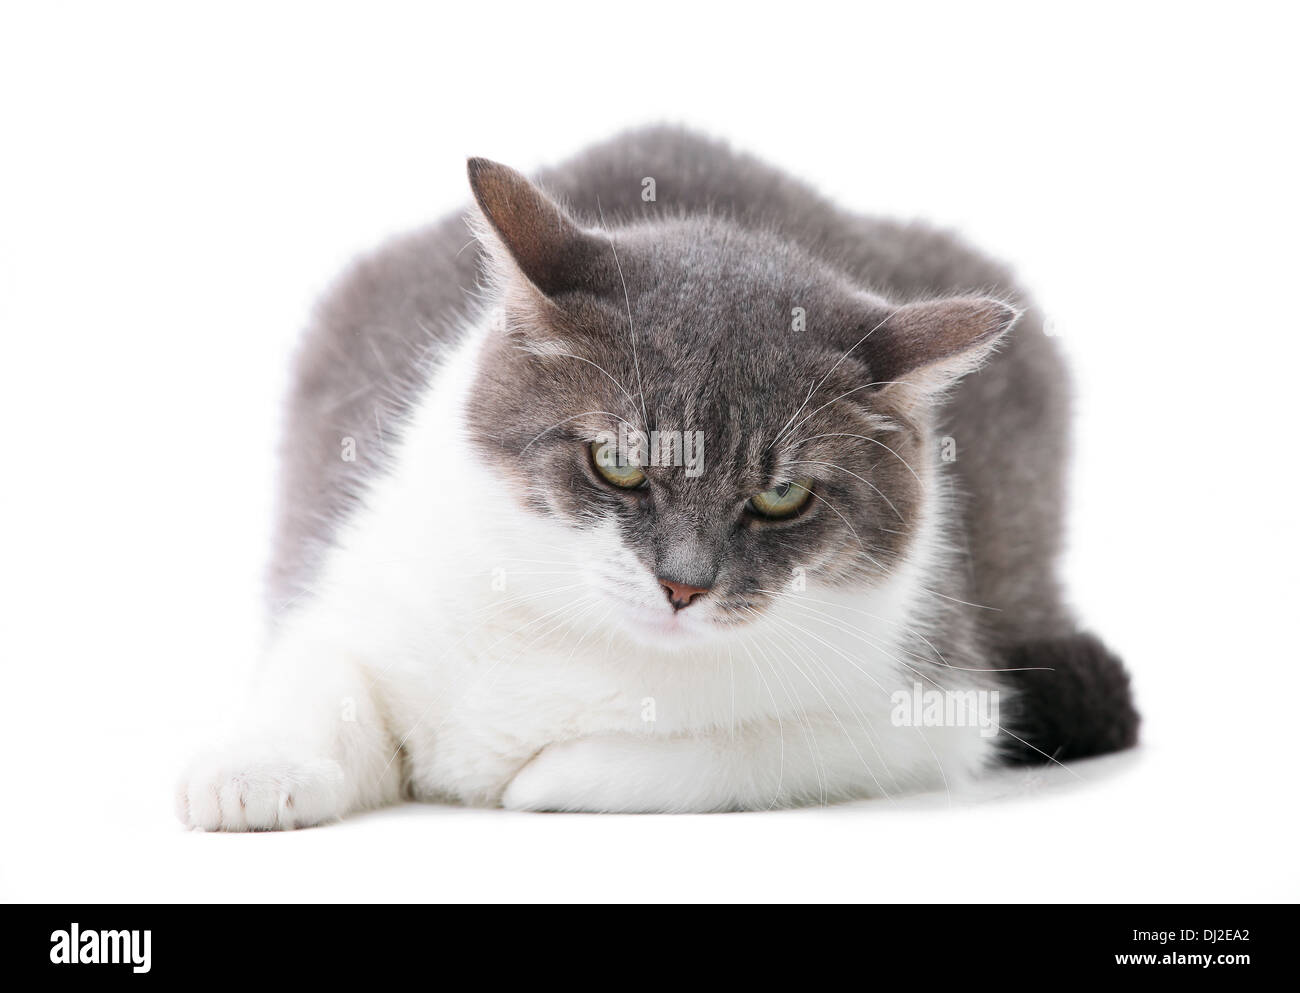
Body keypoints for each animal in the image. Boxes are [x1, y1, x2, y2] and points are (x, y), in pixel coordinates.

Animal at [175, 124, 1138, 826]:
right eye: (619, 463)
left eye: (781, 494)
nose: (683, 584)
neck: (583, 634)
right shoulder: (366, 581)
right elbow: (322, 672)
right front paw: (254, 771)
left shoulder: (933, 707)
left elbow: (741, 751)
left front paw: (538, 776)